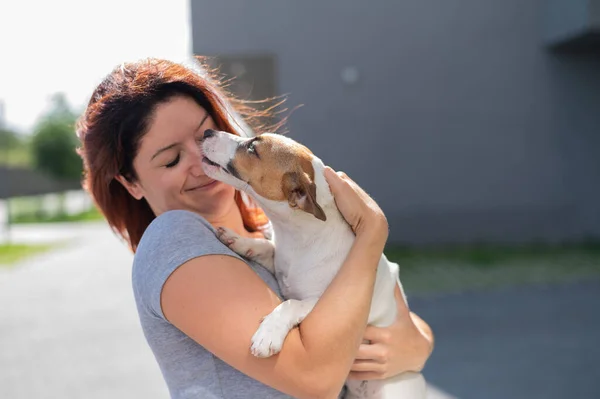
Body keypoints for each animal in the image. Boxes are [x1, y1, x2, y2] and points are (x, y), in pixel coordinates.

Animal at [202, 130, 426, 398]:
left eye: (253, 149)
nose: (207, 132)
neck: (299, 239)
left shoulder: (321, 303)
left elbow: (291, 304)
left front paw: (268, 333)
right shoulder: (280, 261)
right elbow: (267, 248)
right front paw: (240, 240)